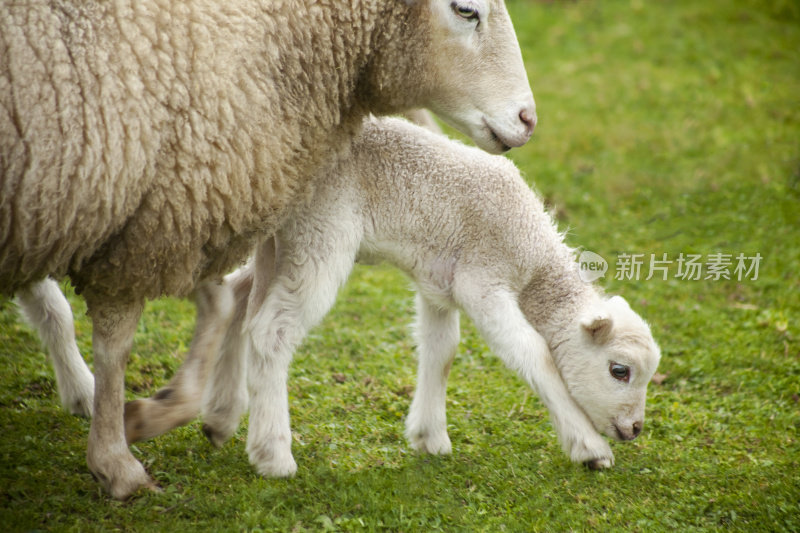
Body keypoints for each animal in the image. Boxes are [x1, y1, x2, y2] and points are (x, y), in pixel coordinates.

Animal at [1, 1, 536, 498]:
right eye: (466, 10)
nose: (528, 119)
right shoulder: (147, 224)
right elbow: (121, 341)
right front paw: (119, 458)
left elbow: (221, 303)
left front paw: (184, 409)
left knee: (46, 301)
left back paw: (83, 391)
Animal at [170, 117, 664, 478]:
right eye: (619, 370)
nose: (635, 429)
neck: (534, 263)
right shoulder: (481, 281)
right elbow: (535, 354)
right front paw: (589, 448)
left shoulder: (439, 286)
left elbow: (441, 352)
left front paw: (430, 437)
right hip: (320, 233)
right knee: (271, 330)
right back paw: (273, 455)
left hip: (282, 237)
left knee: (239, 299)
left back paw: (220, 417)